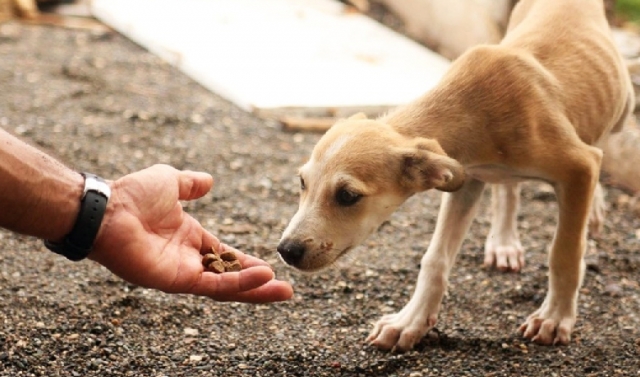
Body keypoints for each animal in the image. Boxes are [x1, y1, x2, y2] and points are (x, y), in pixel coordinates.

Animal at [278, 0, 632, 350]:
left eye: (348, 196)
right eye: (302, 183)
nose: (286, 251)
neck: (473, 107)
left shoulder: (579, 166)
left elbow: (564, 252)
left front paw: (555, 317)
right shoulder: (466, 179)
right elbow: (435, 259)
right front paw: (410, 322)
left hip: (621, 106)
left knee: (602, 138)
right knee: (509, 188)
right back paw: (505, 242)